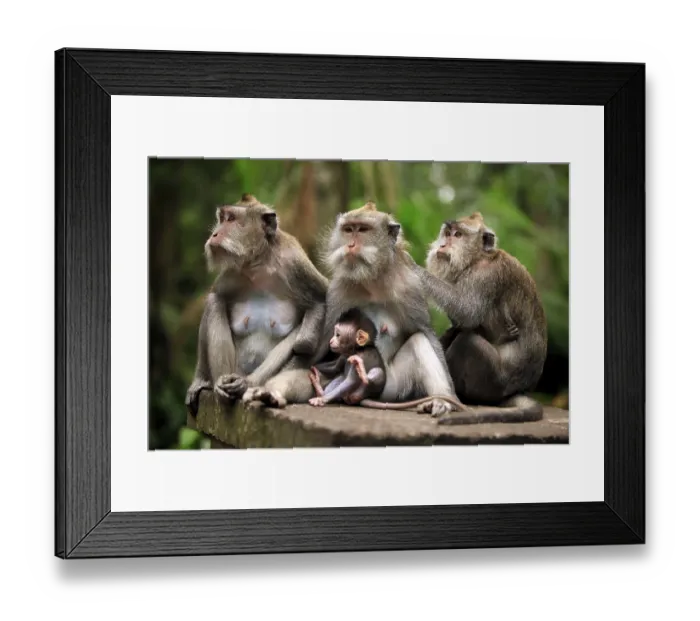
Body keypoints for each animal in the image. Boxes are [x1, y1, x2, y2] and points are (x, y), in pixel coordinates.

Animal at [184, 193, 328, 416]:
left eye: (231, 219)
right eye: (222, 218)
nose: (215, 234)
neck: (260, 264)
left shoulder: (295, 263)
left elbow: (319, 304)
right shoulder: (233, 273)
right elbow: (216, 296)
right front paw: (200, 381)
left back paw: (247, 383)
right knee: (215, 302)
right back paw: (221, 385)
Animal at [415, 211, 548, 425]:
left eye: (458, 235)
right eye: (447, 233)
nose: (442, 246)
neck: (477, 259)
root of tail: (519, 390)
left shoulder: (485, 275)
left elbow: (468, 311)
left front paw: (409, 266)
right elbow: (462, 320)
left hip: (494, 383)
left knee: (468, 342)